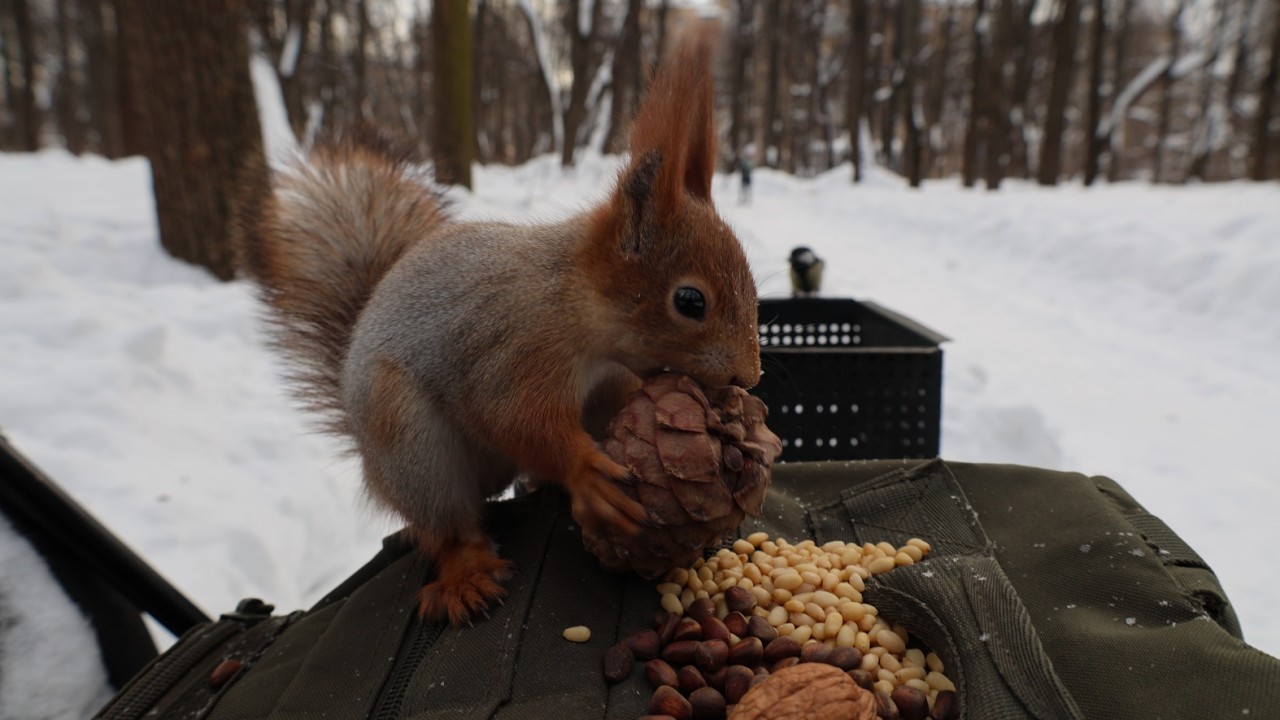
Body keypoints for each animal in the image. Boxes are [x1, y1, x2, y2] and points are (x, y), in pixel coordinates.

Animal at [236, 30, 761, 625]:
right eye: (690, 301)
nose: (748, 378)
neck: (578, 304)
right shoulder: (514, 347)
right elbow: (513, 416)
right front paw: (585, 472)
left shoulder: (607, 381)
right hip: (411, 448)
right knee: (448, 527)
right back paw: (467, 574)